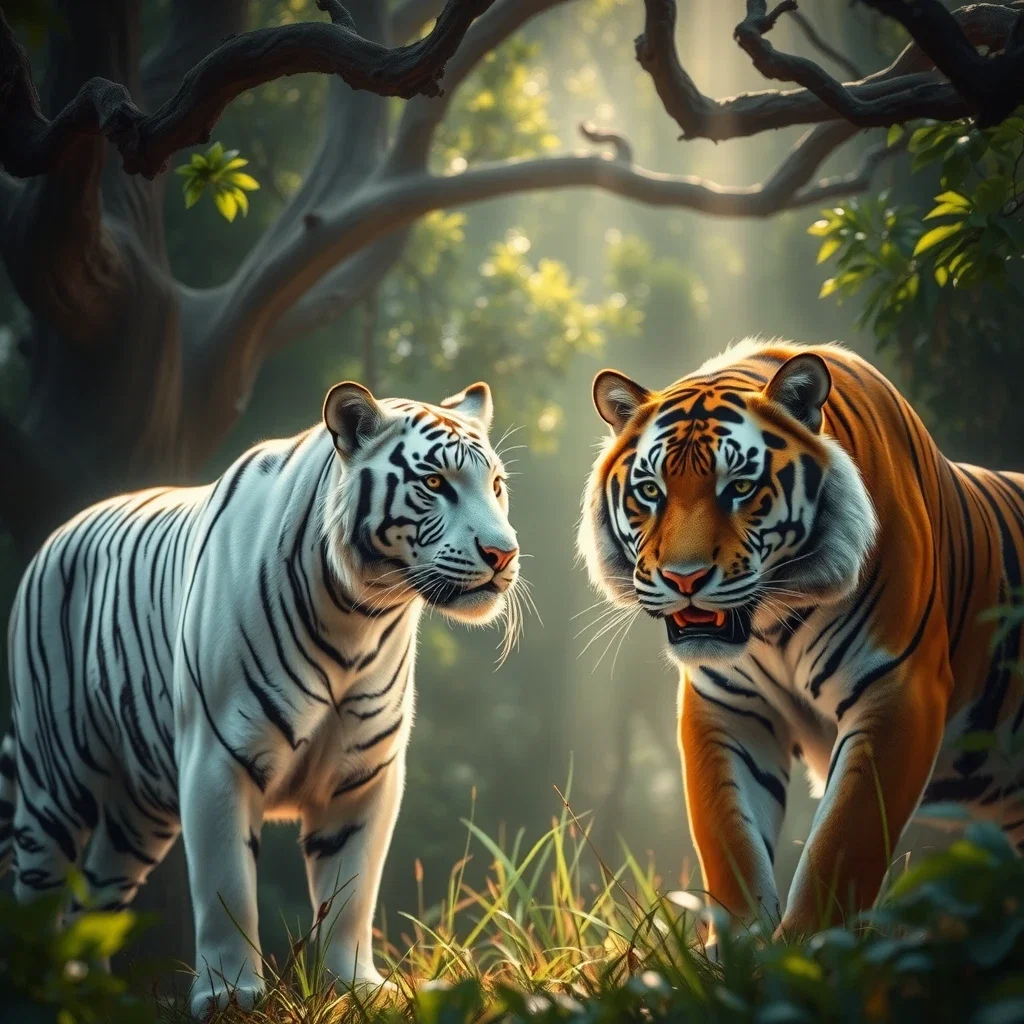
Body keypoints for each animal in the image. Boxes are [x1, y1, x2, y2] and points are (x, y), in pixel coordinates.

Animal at [0, 379, 522, 1016]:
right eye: (434, 484)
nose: (504, 554)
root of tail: (54, 537)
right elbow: (227, 888)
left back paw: (94, 997)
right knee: (39, 888)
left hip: (137, 813)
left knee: (91, 900)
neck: (360, 616)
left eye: (495, 486)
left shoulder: (366, 774)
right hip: (57, 778)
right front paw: (230, 994)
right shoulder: (217, 758)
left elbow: (352, 892)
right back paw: (37, 994)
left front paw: (357, 987)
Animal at [578, 338, 1024, 940]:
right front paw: (742, 949)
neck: (772, 622)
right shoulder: (725, 707)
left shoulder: (898, 690)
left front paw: (808, 948)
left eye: (740, 488)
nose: (684, 579)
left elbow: (842, 843)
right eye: (650, 492)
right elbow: (731, 842)